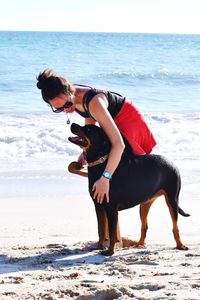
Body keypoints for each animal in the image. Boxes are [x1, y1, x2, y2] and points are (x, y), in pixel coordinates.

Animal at [69, 123, 189, 254]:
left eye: (88, 129)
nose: (72, 124)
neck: (101, 163)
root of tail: (172, 164)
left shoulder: (111, 208)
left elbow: (112, 232)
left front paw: (109, 251)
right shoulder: (99, 206)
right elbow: (101, 230)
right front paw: (98, 248)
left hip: (172, 199)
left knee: (175, 226)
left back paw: (180, 245)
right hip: (145, 203)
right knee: (144, 226)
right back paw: (139, 245)